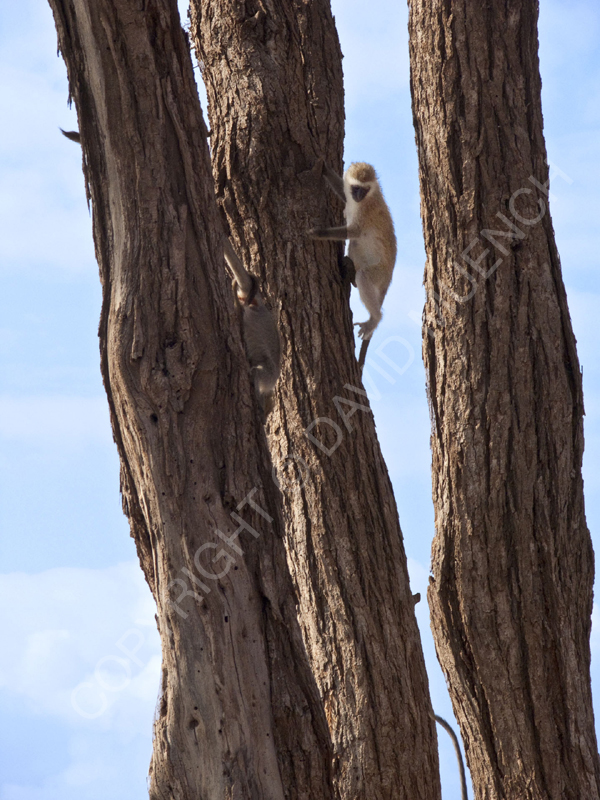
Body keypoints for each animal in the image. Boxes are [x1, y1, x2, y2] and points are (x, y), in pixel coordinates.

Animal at [309, 161, 396, 373]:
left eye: (364, 190)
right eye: (356, 188)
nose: (358, 196)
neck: (366, 199)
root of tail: (388, 280)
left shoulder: (365, 212)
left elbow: (353, 232)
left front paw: (319, 233)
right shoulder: (349, 197)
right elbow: (342, 190)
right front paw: (324, 168)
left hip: (378, 274)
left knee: (363, 275)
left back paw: (374, 319)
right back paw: (348, 270)